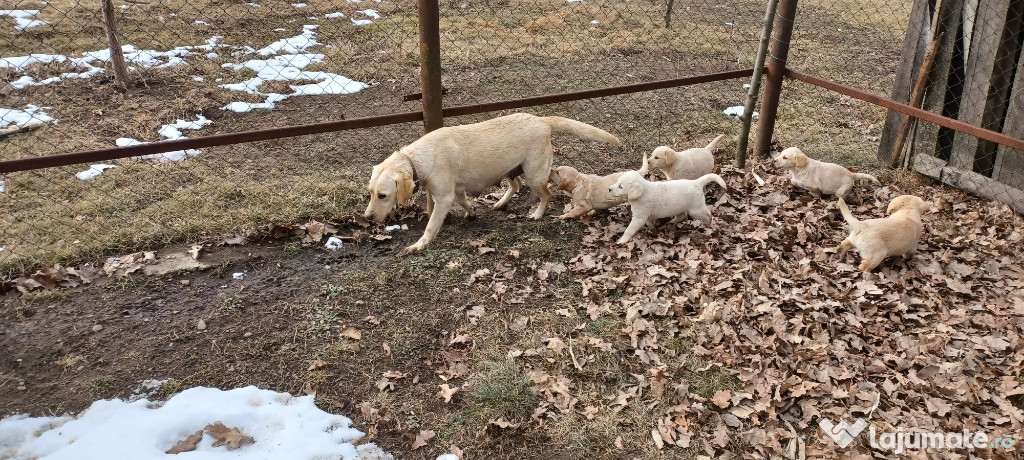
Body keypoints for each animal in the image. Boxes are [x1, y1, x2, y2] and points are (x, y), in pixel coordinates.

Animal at [364, 112, 618, 253]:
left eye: (383, 195)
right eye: (370, 193)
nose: (367, 218)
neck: (418, 159)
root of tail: (541, 120)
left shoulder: (443, 198)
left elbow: (430, 225)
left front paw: (420, 244)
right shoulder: (456, 191)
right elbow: (464, 202)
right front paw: (472, 212)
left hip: (534, 174)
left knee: (547, 195)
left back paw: (537, 214)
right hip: (510, 171)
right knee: (515, 187)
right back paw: (500, 204)